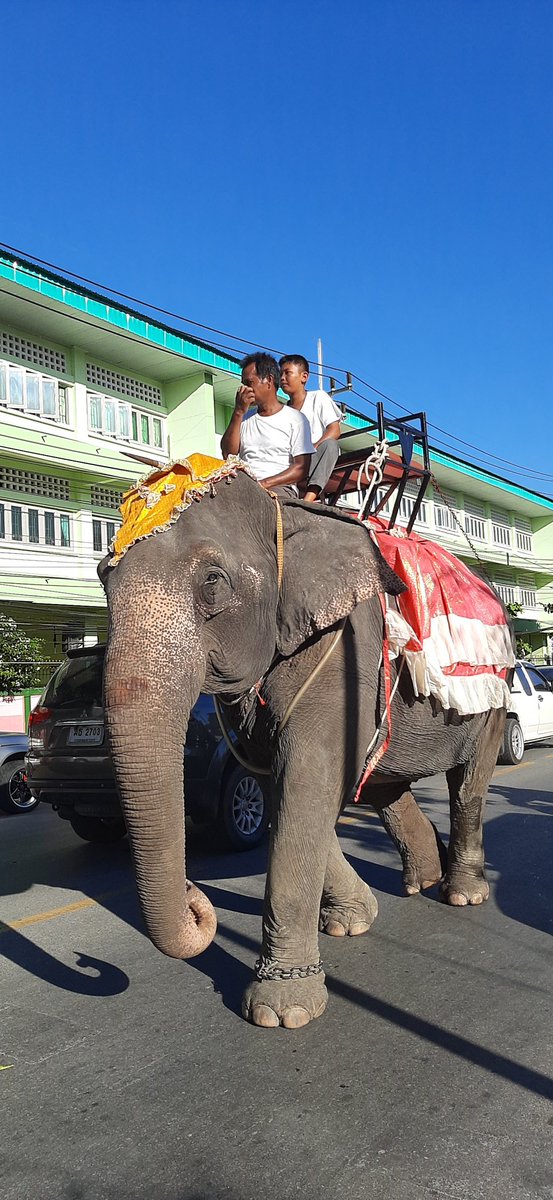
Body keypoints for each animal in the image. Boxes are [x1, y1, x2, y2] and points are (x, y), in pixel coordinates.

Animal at [100, 463, 508, 1027]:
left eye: (212, 583)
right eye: (103, 579)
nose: (196, 899)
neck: (285, 513)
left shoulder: (346, 648)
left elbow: (307, 780)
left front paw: (282, 1012)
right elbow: (282, 787)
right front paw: (349, 923)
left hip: (492, 694)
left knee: (468, 785)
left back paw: (462, 894)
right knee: (384, 786)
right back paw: (421, 880)